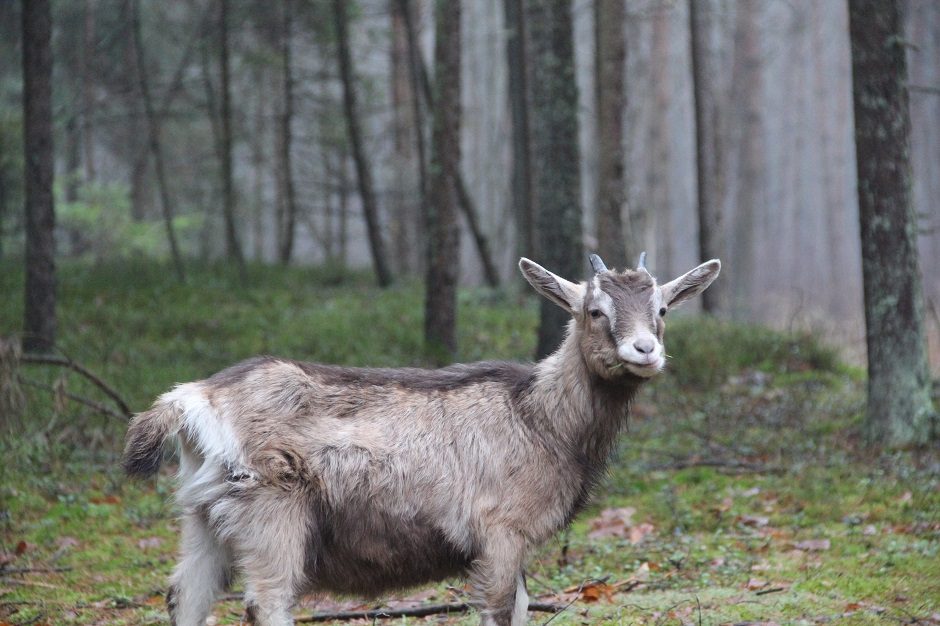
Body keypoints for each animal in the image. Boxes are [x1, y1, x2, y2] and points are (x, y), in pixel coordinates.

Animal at [119, 252, 720, 624]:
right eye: (594, 311)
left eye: (662, 309)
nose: (645, 350)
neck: (542, 422)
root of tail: (192, 401)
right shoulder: (499, 529)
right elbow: (499, 611)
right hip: (271, 512)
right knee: (265, 603)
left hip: (203, 515)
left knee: (184, 596)